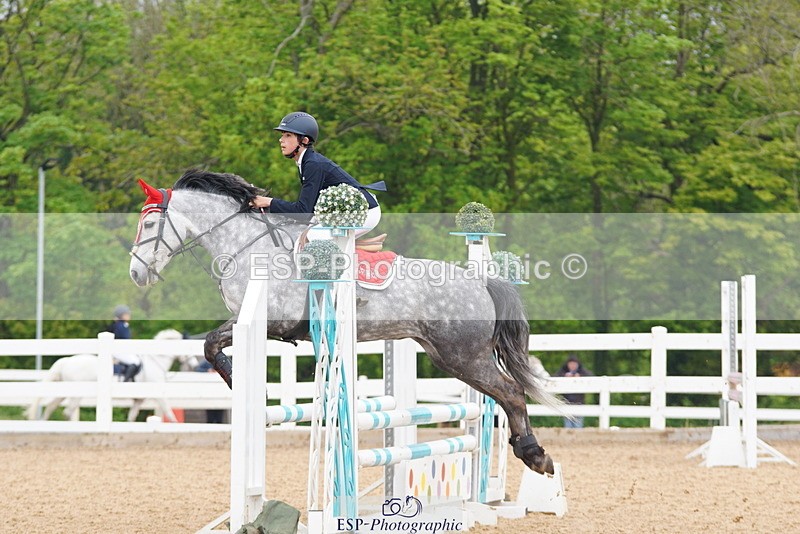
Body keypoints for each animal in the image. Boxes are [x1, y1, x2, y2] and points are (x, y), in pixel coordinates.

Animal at [27, 329, 188, 422]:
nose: (191, 365)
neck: (155, 361)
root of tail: (67, 361)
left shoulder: (138, 400)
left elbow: (131, 417)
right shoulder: (159, 394)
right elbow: (169, 413)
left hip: (65, 391)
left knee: (51, 407)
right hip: (76, 394)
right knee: (67, 412)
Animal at [128, 170, 559, 475]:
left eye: (148, 225)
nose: (136, 274)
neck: (246, 246)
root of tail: (479, 280)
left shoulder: (267, 321)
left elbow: (210, 343)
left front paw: (247, 388)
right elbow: (211, 343)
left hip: (464, 355)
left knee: (511, 392)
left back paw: (535, 455)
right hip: (449, 356)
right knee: (505, 394)